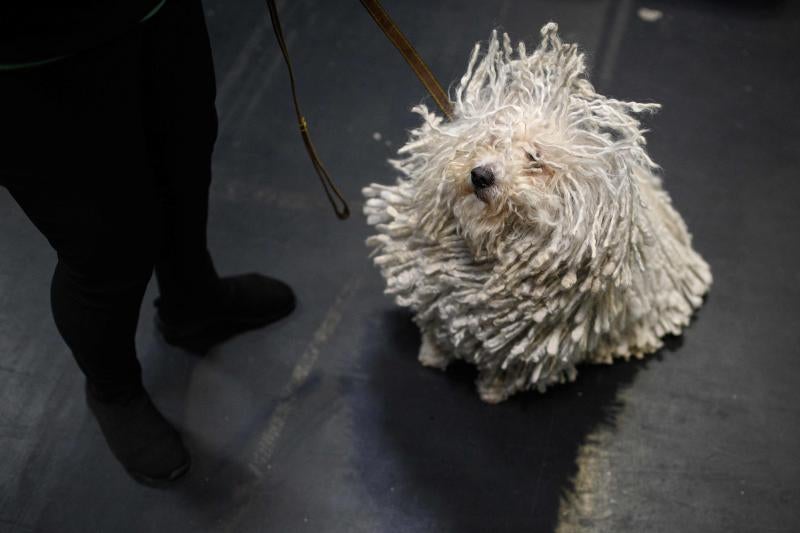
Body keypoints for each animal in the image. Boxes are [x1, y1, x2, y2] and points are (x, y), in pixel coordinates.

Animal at [364, 22, 712, 402]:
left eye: (535, 159)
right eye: (492, 139)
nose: (481, 175)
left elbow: (507, 365)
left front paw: (492, 391)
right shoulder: (438, 294)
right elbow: (436, 324)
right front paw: (431, 354)